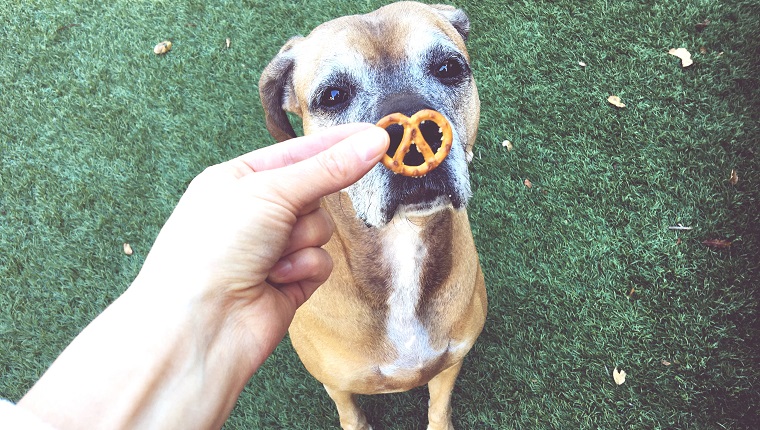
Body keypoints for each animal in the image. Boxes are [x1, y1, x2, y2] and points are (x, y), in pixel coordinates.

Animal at [260, 1, 486, 428]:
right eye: (333, 95)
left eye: (449, 67)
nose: (415, 136)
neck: (402, 243)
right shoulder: (336, 382)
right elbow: (350, 413)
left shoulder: (451, 362)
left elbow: (439, 408)